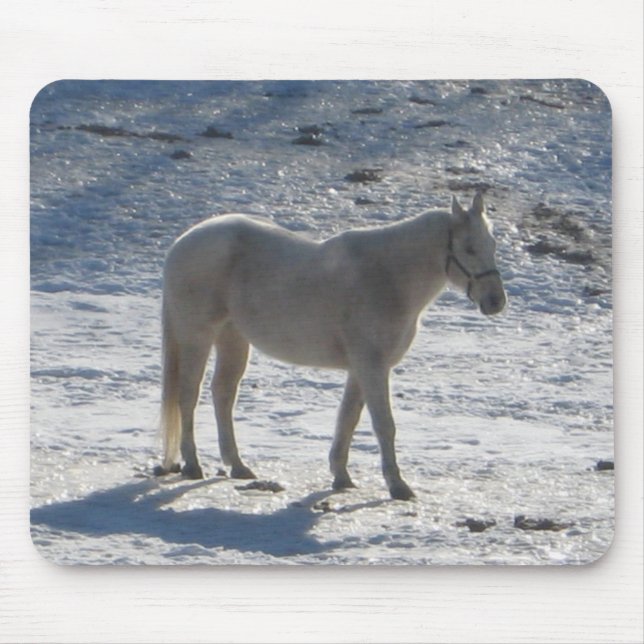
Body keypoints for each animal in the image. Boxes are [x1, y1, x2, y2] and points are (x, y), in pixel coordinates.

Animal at [154, 191, 506, 500]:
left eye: (492, 244)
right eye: (469, 248)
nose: (496, 302)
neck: (387, 276)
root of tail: (181, 243)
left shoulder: (361, 369)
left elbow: (347, 419)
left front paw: (341, 476)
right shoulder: (371, 366)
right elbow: (384, 425)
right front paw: (397, 486)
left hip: (233, 339)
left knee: (223, 394)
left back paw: (237, 466)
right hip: (197, 337)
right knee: (188, 395)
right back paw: (193, 465)